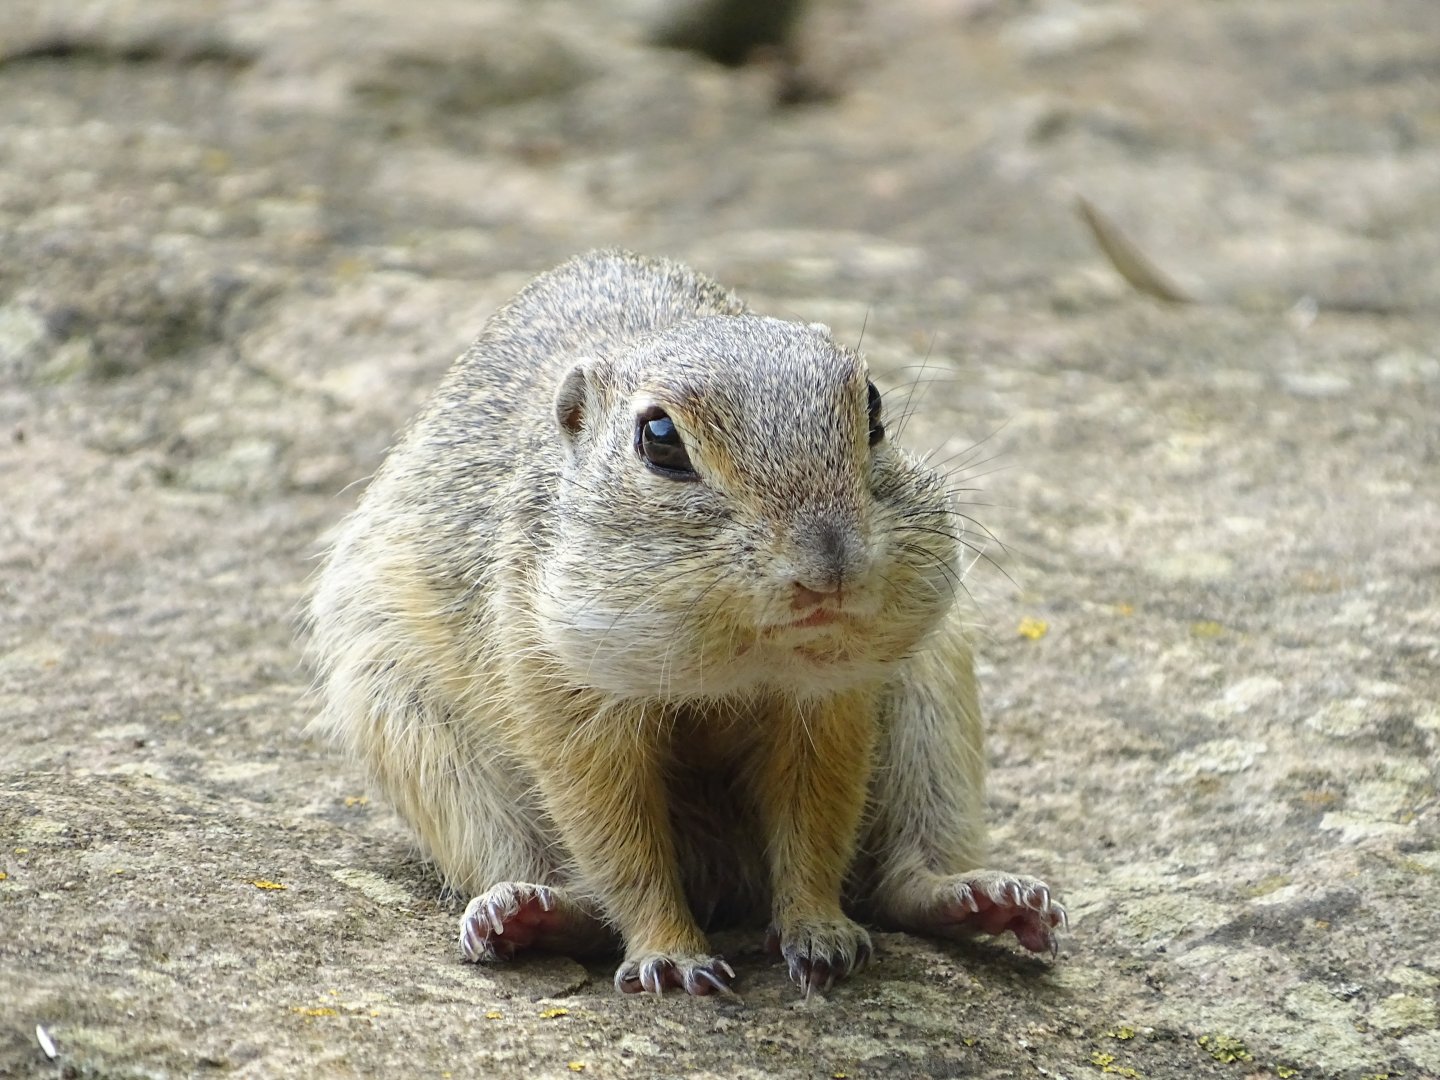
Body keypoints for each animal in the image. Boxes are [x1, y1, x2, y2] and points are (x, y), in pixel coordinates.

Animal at [306, 249, 1065, 997]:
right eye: (660, 438)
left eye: (874, 406)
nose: (831, 568)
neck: (743, 654)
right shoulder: (568, 702)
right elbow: (621, 844)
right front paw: (669, 954)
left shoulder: (829, 702)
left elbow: (816, 827)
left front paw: (819, 932)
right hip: (415, 737)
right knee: (559, 882)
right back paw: (526, 913)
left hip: (937, 707)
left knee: (901, 877)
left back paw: (983, 900)